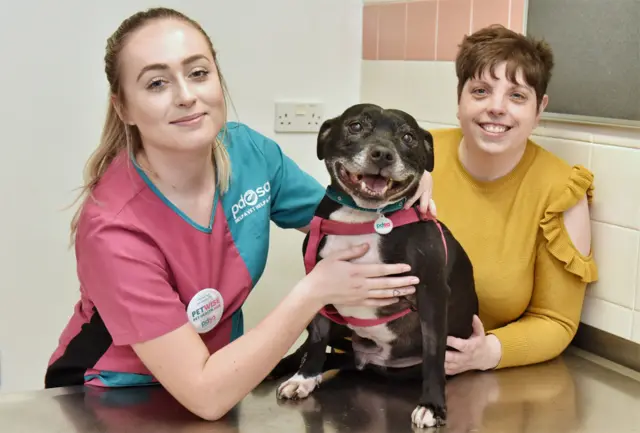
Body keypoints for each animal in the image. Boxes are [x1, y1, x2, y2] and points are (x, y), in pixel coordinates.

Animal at [268, 103, 476, 426]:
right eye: (355, 126)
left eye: (408, 137)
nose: (382, 154)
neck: (363, 218)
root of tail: (368, 361)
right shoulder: (320, 286)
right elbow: (316, 340)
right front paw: (305, 377)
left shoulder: (432, 293)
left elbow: (434, 354)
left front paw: (432, 405)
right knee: (318, 349)